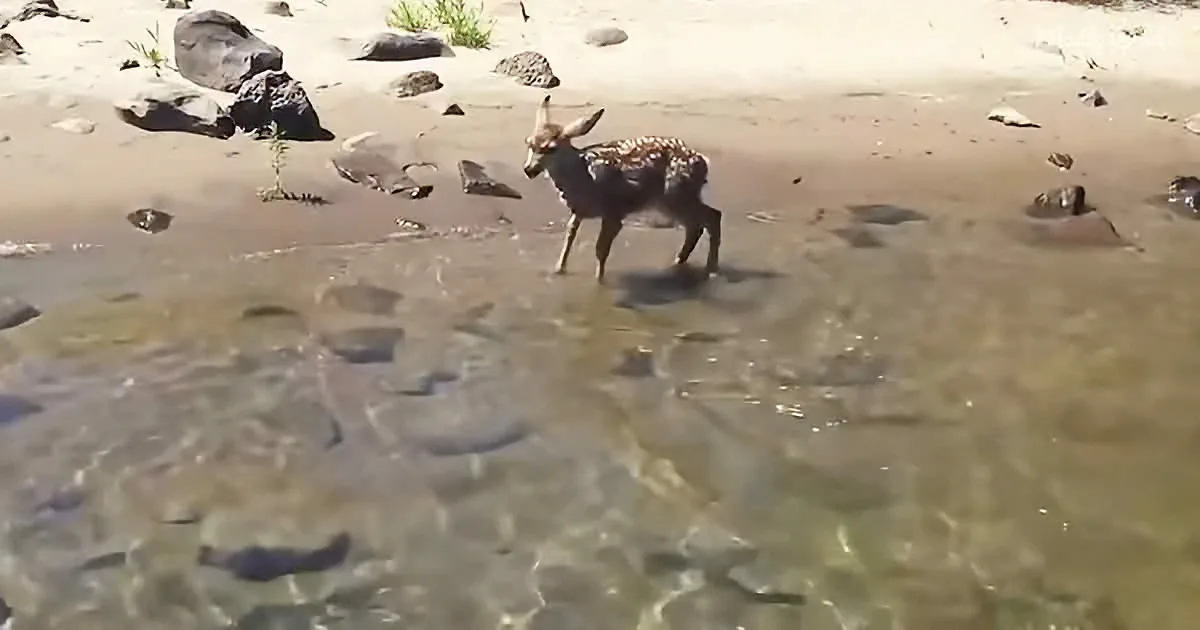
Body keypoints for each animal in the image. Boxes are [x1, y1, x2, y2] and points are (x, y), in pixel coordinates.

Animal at [521, 94, 722, 284]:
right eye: (529, 143)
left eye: (551, 148)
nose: (529, 169)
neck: (583, 177)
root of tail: (703, 161)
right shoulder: (579, 210)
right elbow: (569, 236)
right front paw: (558, 270)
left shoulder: (614, 211)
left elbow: (601, 249)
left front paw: (599, 282)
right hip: (676, 198)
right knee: (696, 225)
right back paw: (679, 262)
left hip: (676, 195)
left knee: (712, 216)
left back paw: (710, 269)